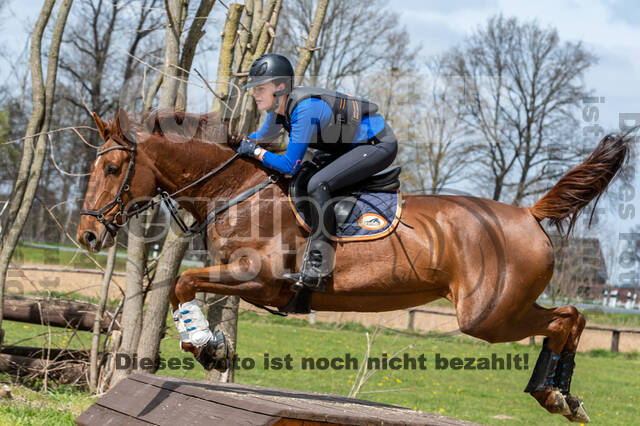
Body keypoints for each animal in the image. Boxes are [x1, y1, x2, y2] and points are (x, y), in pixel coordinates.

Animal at [76, 107, 632, 422]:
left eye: (113, 167)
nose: (87, 235)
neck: (237, 192)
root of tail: (528, 212)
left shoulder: (262, 280)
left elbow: (183, 284)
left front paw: (204, 347)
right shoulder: (242, 278)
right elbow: (183, 286)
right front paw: (210, 347)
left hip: (488, 315)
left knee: (567, 318)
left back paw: (555, 396)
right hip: (499, 309)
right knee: (571, 318)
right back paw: (559, 396)